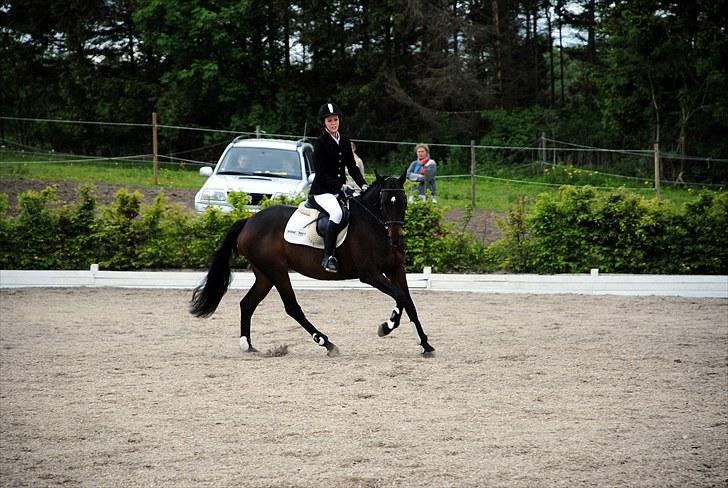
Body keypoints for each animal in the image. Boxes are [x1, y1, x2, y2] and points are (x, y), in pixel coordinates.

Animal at [191, 173, 436, 358]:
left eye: (403, 203)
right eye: (384, 204)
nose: (395, 239)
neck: (375, 226)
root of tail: (248, 221)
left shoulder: (395, 269)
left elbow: (408, 301)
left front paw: (424, 344)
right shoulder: (370, 274)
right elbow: (400, 296)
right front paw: (386, 326)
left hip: (264, 275)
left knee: (247, 304)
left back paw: (248, 345)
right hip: (277, 271)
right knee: (292, 307)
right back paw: (327, 343)